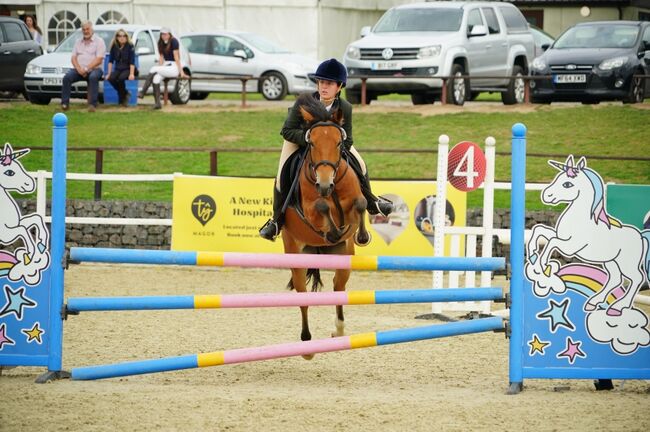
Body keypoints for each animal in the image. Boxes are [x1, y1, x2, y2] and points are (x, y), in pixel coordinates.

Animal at [280, 93, 370, 356]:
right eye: (311, 144)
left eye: (339, 144)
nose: (323, 184)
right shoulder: (310, 210)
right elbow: (321, 207)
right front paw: (331, 230)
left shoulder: (353, 202)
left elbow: (361, 203)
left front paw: (362, 235)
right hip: (296, 256)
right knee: (303, 297)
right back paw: (307, 345)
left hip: (344, 260)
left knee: (338, 289)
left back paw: (338, 331)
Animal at [528, 154, 648, 316]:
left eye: (567, 184)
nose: (547, 195)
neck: (579, 220)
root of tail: (641, 237)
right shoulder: (560, 236)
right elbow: (540, 231)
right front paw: (533, 254)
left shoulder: (570, 247)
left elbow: (552, 242)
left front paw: (542, 265)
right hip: (610, 262)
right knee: (615, 279)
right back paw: (594, 303)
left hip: (626, 263)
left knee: (637, 278)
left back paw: (617, 307)